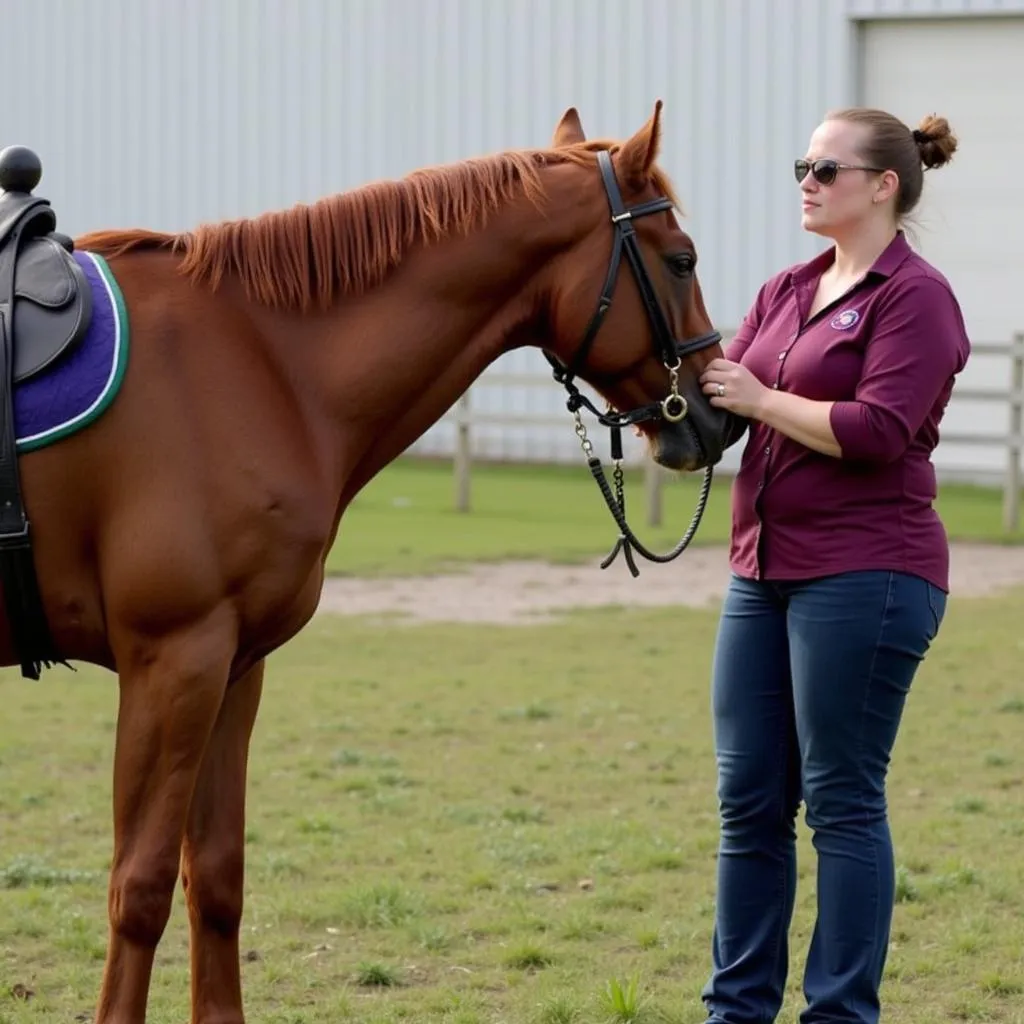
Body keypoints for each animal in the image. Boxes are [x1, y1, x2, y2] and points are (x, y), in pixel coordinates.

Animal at [6, 105, 745, 1024]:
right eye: (681, 259)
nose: (720, 417)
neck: (255, 362)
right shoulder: (171, 664)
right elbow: (138, 890)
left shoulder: (230, 668)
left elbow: (215, 879)